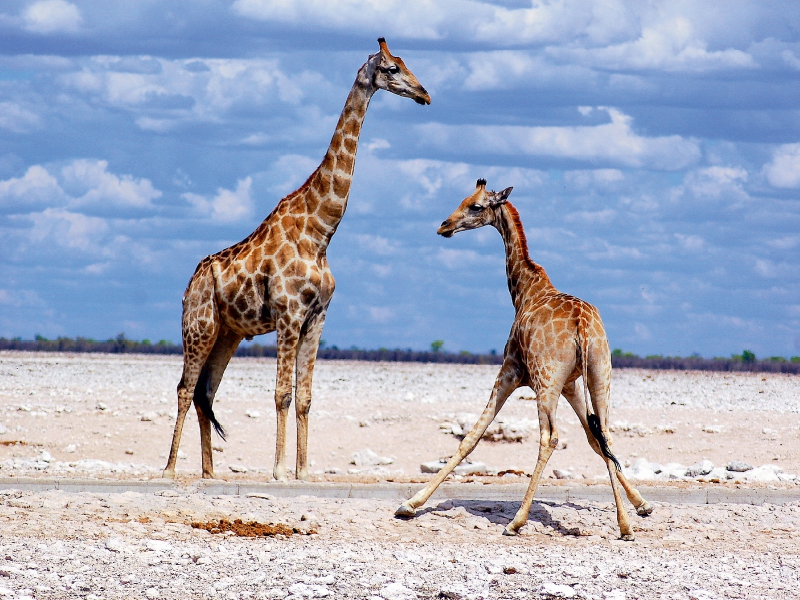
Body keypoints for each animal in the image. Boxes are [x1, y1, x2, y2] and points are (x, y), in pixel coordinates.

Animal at [163, 39, 434, 480]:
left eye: (406, 63)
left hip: (228, 332)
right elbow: (281, 394)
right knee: (186, 388)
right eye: (392, 68)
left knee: (207, 390)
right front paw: (277, 469)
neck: (320, 233)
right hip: (199, 327)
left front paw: (303, 470)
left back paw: (209, 472)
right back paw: (170, 469)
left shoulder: (318, 317)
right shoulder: (289, 315)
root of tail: (189, 287)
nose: (425, 94)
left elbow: (305, 395)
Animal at [396, 178, 652, 540]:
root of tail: (582, 326)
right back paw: (625, 525)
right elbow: (595, 440)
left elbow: (472, 436)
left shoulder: (511, 370)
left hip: (545, 381)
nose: (444, 225)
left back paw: (516, 520)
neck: (524, 290)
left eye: (475, 205)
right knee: (605, 432)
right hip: (600, 375)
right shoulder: (571, 385)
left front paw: (410, 504)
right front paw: (641, 504)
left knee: (549, 438)